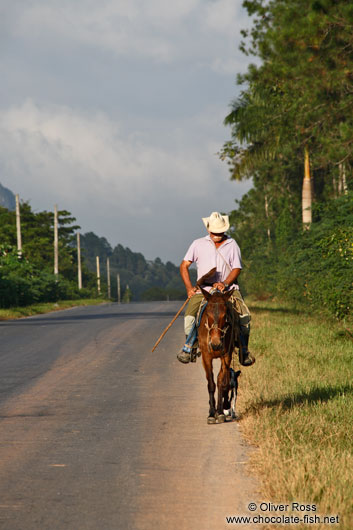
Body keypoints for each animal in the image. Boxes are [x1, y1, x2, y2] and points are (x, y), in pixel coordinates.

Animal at [198, 286, 239, 422]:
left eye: (225, 315)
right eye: (207, 314)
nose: (216, 344)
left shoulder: (226, 355)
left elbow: (223, 382)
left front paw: (221, 411)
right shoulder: (206, 357)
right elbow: (211, 384)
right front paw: (211, 413)